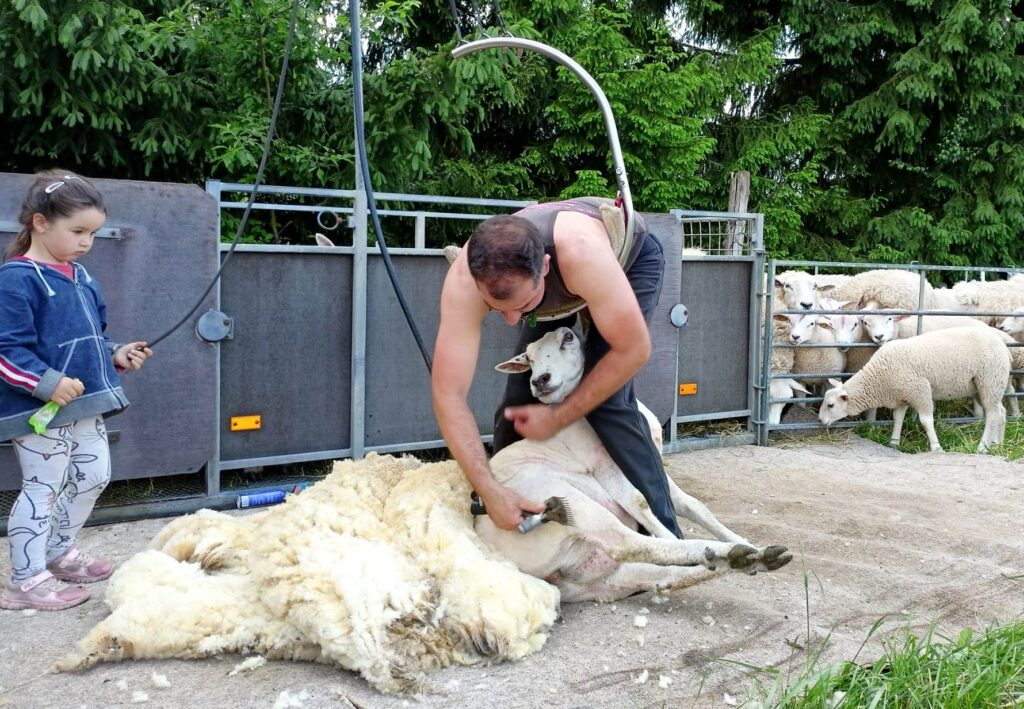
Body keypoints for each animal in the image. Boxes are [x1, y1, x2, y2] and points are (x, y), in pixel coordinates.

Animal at [483, 323, 794, 602]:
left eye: (568, 338)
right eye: (529, 357)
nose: (540, 380)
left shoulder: (655, 465)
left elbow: (692, 505)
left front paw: (742, 539)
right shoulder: (603, 465)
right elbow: (640, 500)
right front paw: (676, 535)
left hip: (594, 579)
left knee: (662, 577)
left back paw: (754, 556)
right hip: (570, 506)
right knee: (631, 544)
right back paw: (719, 553)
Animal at [815, 323, 1007, 450]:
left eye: (830, 405)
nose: (820, 421)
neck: (879, 377)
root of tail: (1001, 344)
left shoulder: (920, 390)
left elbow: (926, 421)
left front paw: (936, 447)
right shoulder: (903, 396)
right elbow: (897, 418)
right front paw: (893, 443)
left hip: (990, 380)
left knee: (992, 415)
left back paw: (982, 447)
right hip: (982, 386)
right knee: (1000, 412)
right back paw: (998, 444)